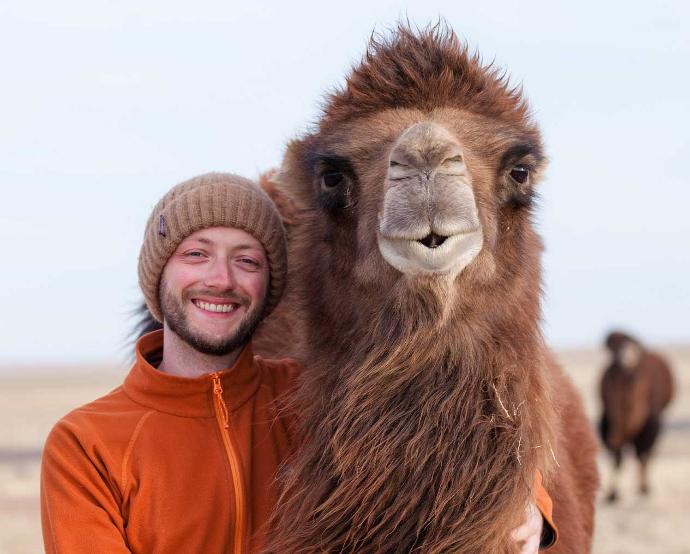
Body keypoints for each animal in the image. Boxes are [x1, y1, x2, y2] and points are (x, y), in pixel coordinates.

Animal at [596, 330, 672, 502]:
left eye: (636, 350)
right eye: (615, 351)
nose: (626, 357)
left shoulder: (650, 425)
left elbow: (642, 454)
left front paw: (643, 489)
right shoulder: (609, 423)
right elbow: (617, 457)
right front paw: (612, 494)